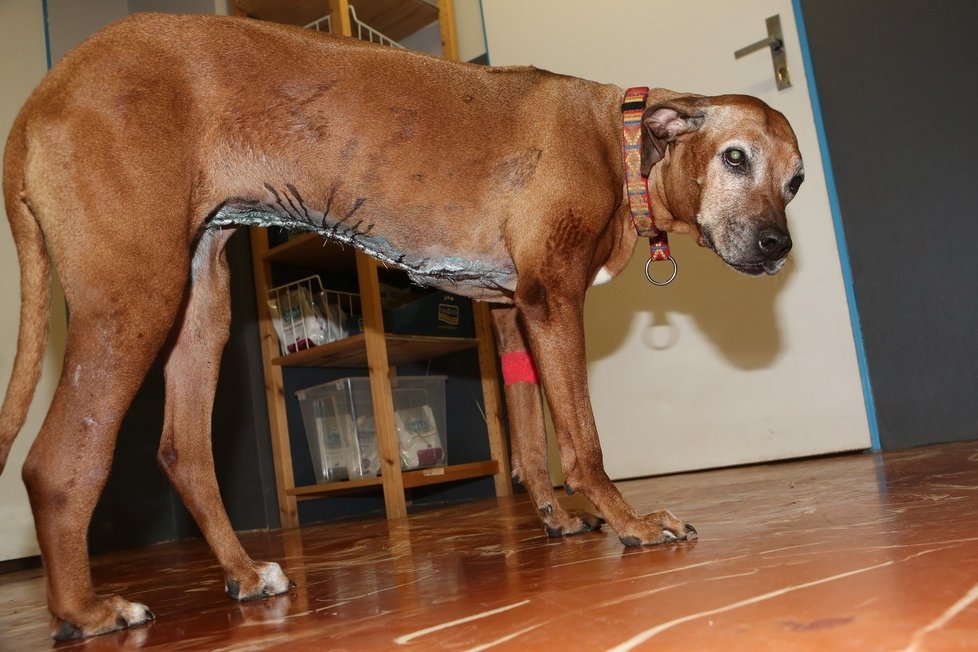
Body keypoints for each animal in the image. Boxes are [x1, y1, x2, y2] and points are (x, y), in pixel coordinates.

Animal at [0, 12, 800, 640]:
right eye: (735, 158)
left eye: (794, 182)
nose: (777, 247)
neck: (619, 139)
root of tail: (45, 93)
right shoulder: (552, 300)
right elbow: (583, 440)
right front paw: (628, 522)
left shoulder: (513, 312)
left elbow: (529, 436)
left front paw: (557, 518)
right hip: (134, 297)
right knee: (57, 463)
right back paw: (87, 611)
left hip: (201, 303)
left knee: (183, 453)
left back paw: (244, 573)